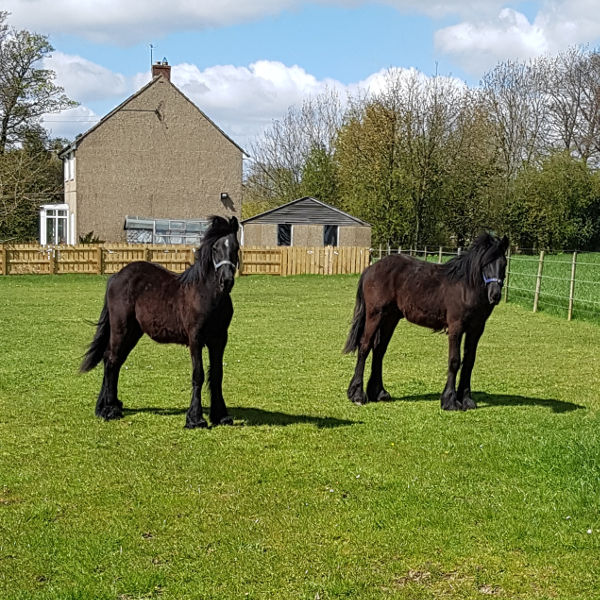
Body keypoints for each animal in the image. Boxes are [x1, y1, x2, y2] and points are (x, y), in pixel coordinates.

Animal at [81, 216, 239, 426]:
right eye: (215, 248)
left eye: (236, 247)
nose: (226, 281)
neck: (207, 295)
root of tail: (116, 276)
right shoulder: (195, 339)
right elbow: (198, 374)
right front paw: (195, 419)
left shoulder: (219, 340)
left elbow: (216, 374)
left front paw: (221, 415)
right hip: (121, 328)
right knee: (111, 359)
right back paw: (109, 410)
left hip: (134, 332)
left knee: (116, 361)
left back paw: (107, 406)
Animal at [344, 232, 508, 410]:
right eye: (486, 264)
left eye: (504, 264)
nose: (495, 295)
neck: (466, 287)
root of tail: (371, 269)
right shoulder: (456, 327)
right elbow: (455, 361)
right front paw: (450, 401)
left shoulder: (476, 329)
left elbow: (469, 362)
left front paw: (466, 400)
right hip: (375, 315)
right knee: (364, 346)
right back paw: (358, 395)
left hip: (390, 318)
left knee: (379, 350)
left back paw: (379, 393)